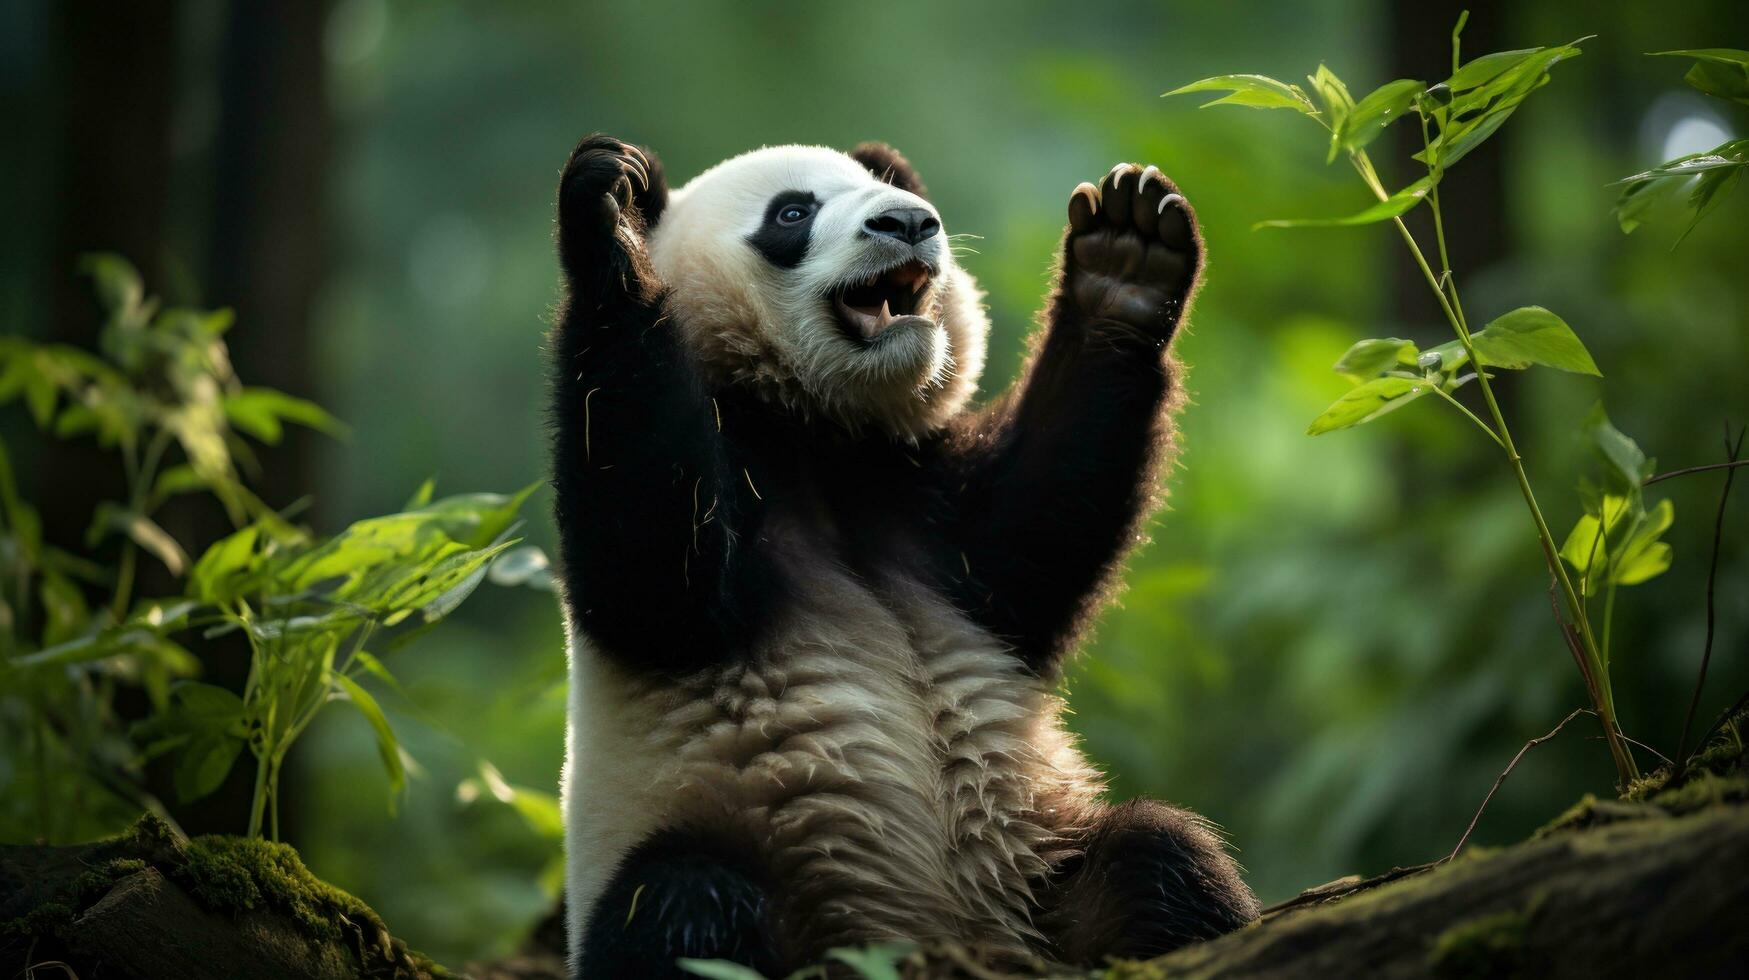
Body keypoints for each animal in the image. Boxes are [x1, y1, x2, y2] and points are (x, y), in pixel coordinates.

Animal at [552, 132, 1252, 980]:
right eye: (792, 213)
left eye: (885, 189)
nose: (908, 222)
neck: (818, 436)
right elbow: (650, 579)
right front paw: (613, 217)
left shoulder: (918, 504)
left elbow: (1038, 532)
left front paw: (1127, 256)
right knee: (683, 904)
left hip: (1039, 873)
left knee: (1154, 862)